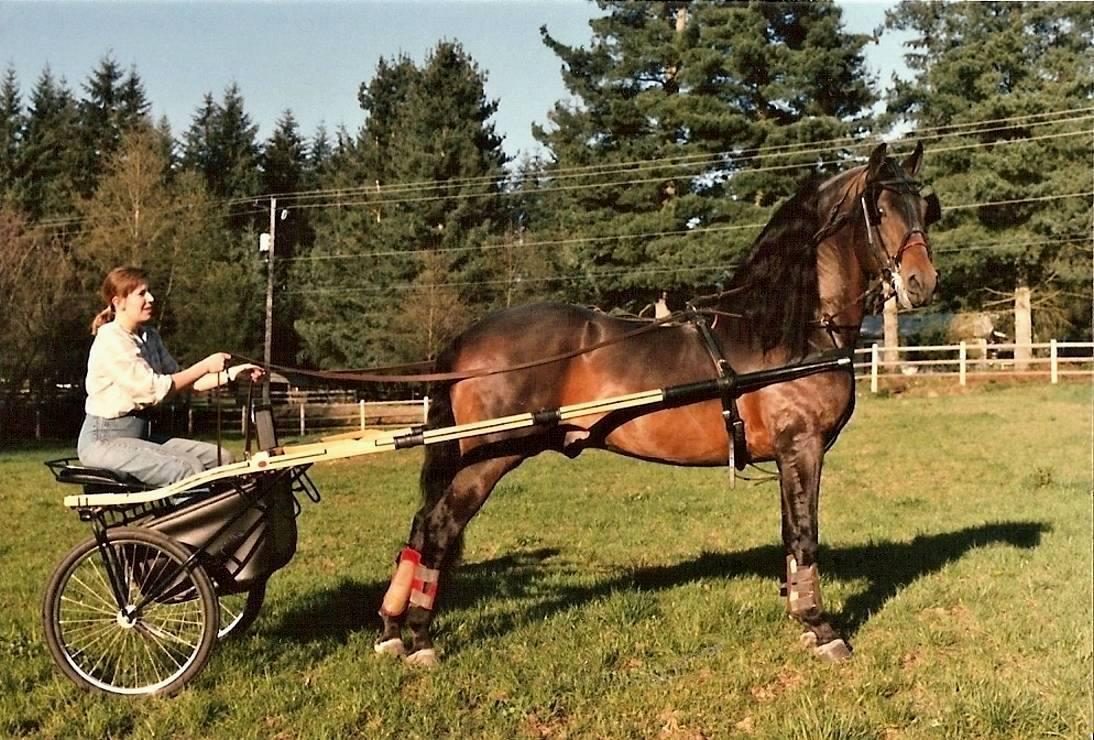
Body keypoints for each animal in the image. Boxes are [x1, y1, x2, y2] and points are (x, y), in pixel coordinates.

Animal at [375, 141, 942, 666]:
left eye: (924, 206)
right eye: (881, 208)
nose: (923, 282)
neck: (788, 332)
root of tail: (465, 340)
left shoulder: (789, 456)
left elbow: (789, 532)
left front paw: (800, 617)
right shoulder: (801, 447)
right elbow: (804, 534)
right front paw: (822, 629)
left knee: (420, 526)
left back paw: (391, 630)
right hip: (490, 456)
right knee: (438, 527)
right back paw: (420, 639)